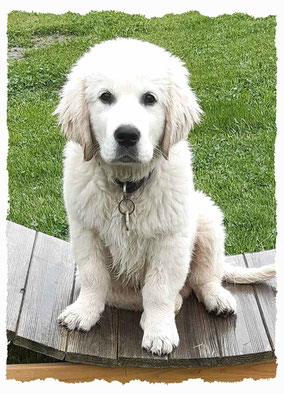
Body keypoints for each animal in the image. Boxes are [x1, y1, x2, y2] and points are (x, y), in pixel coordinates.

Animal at [54, 38, 276, 356]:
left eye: (150, 99)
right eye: (105, 97)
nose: (126, 135)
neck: (127, 186)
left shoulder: (170, 240)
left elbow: (158, 289)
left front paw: (159, 332)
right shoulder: (86, 230)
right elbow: (93, 276)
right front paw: (84, 312)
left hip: (206, 217)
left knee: (204, 277)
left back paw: (215, 299)